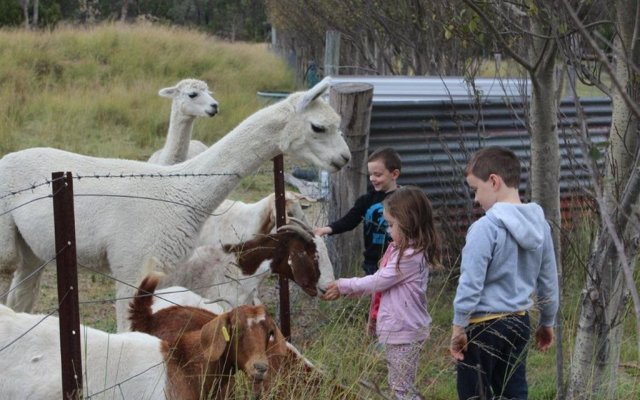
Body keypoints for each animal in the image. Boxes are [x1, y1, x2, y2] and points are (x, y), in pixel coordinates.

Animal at [1, 76, 350, 330]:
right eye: (319, 127)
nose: (344, 158)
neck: (181, 191)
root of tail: (10, 155)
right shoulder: (131, 267)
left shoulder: (164, 272)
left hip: (35, 249)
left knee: (21, 294)